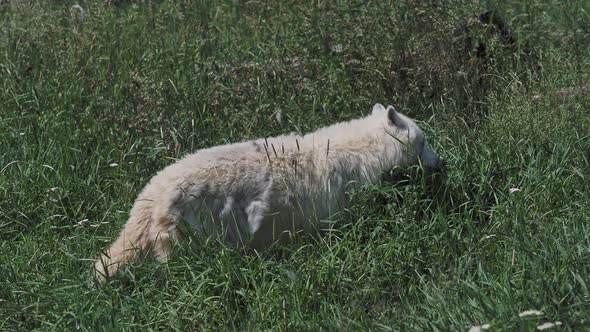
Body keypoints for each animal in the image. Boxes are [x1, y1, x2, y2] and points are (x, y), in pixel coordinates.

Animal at [95, 103, 444, 282]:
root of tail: (147, 200)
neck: (360, 152)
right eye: (424, 141)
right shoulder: (337, 202)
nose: (442, 163)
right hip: (190, 231)